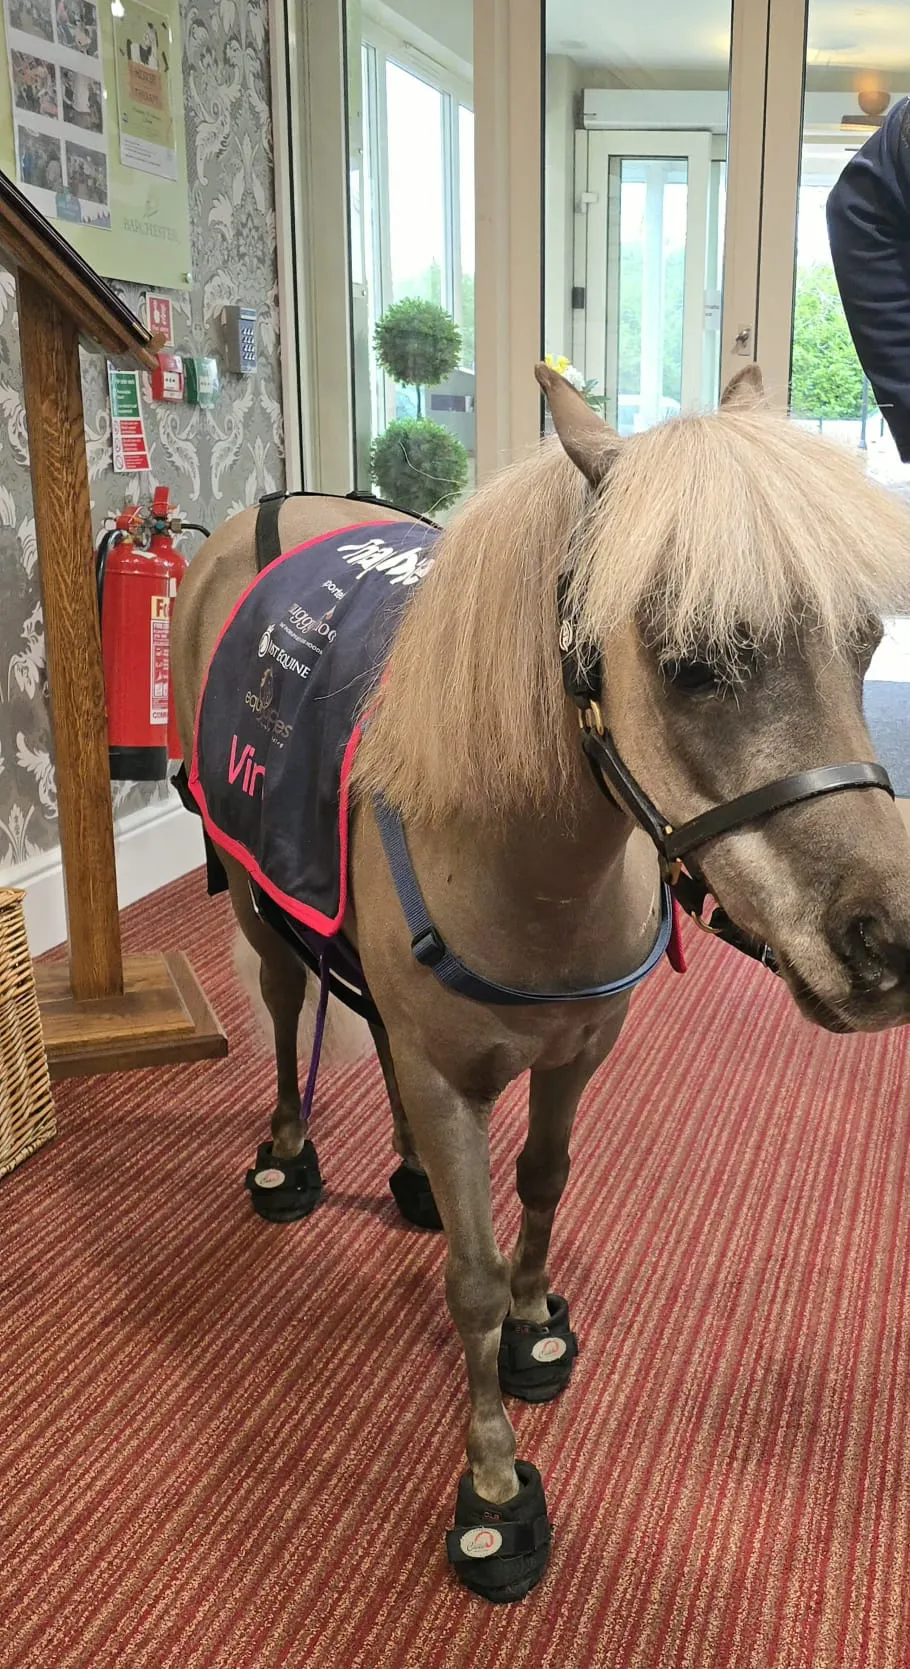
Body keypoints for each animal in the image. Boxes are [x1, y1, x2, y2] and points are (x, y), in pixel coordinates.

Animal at [171, 363, 910, 1602]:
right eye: (691, 662)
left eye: (863, 644)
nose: (889, 942)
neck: (524, 859)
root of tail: (261, 517)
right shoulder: (443, 1071)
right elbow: (466, 1281)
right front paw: (491, 1482)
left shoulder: (576, 1054)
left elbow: (544, 1185)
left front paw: (531, 1321)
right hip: (254, 901)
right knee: (283, 1013)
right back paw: (287, 1152)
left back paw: (412, 1173)